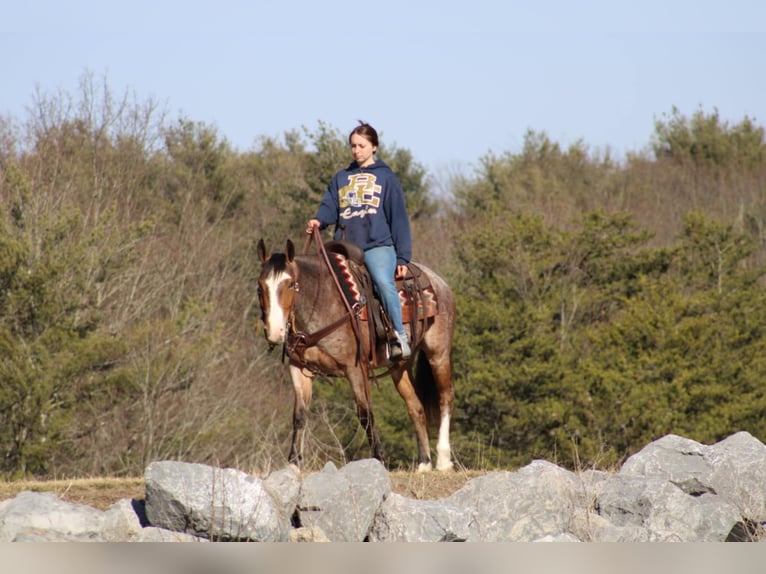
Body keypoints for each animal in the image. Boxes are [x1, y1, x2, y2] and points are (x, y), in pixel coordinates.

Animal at [256, 236, 456, 474]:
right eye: (260, 287)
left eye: (290, 284)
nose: (275, 331)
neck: (323, 302)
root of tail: (438, 282)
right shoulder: (299, 369)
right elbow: (299, 416)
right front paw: (293, 465)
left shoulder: (355, 369)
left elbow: (365, 414)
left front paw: (379, 460)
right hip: (400, 367)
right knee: (416, 408)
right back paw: (424, 463)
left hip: (438, 355)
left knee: (445, 398)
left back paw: (443, 460)